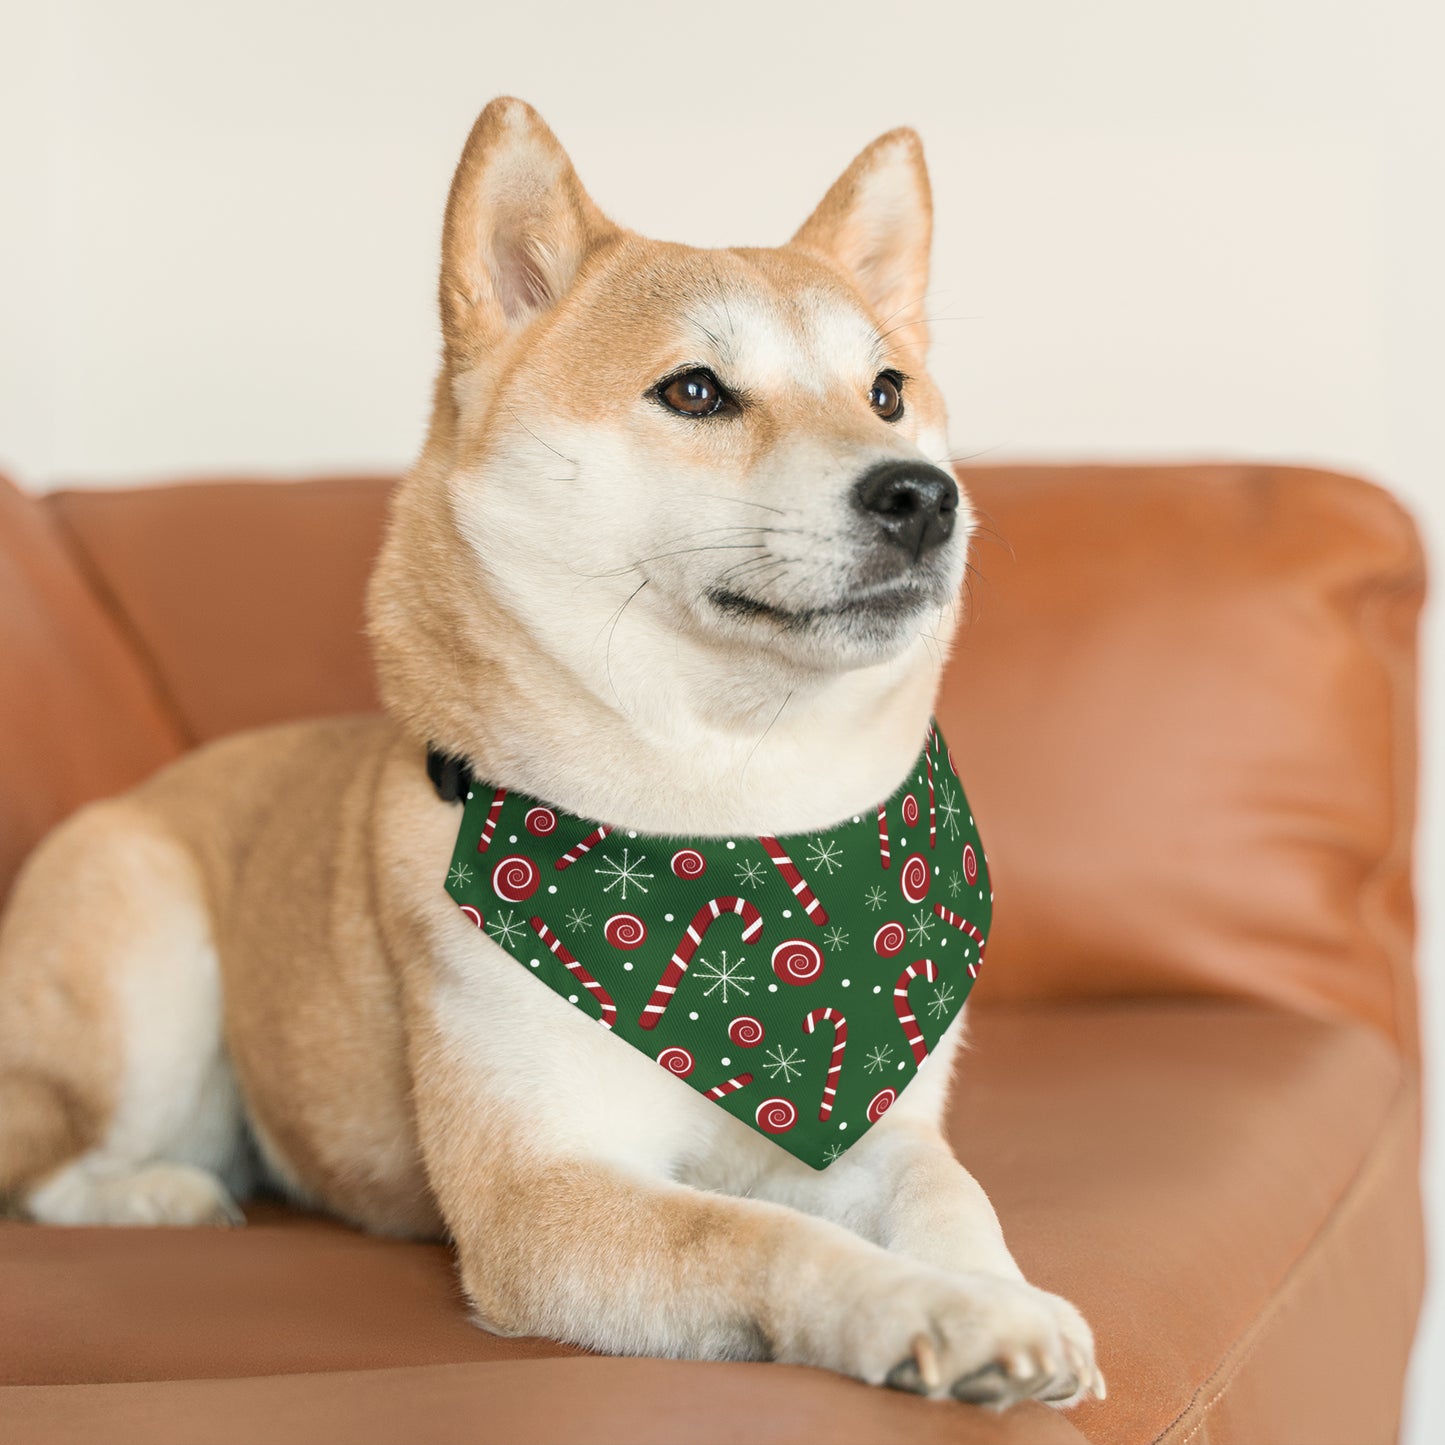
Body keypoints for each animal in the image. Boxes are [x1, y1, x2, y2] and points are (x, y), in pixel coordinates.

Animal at [0, 96, 1098, 1404]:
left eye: (886, 390)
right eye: (694, 390)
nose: (923, 495)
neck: (735, 823)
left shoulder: (879, 1123)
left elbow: (950, 1194)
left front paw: (1002, 1293)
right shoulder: (539, 1193)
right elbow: (765, 1235)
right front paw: (930, 1308)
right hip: (145, 962)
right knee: (48, 1165)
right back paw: (162, 1192)